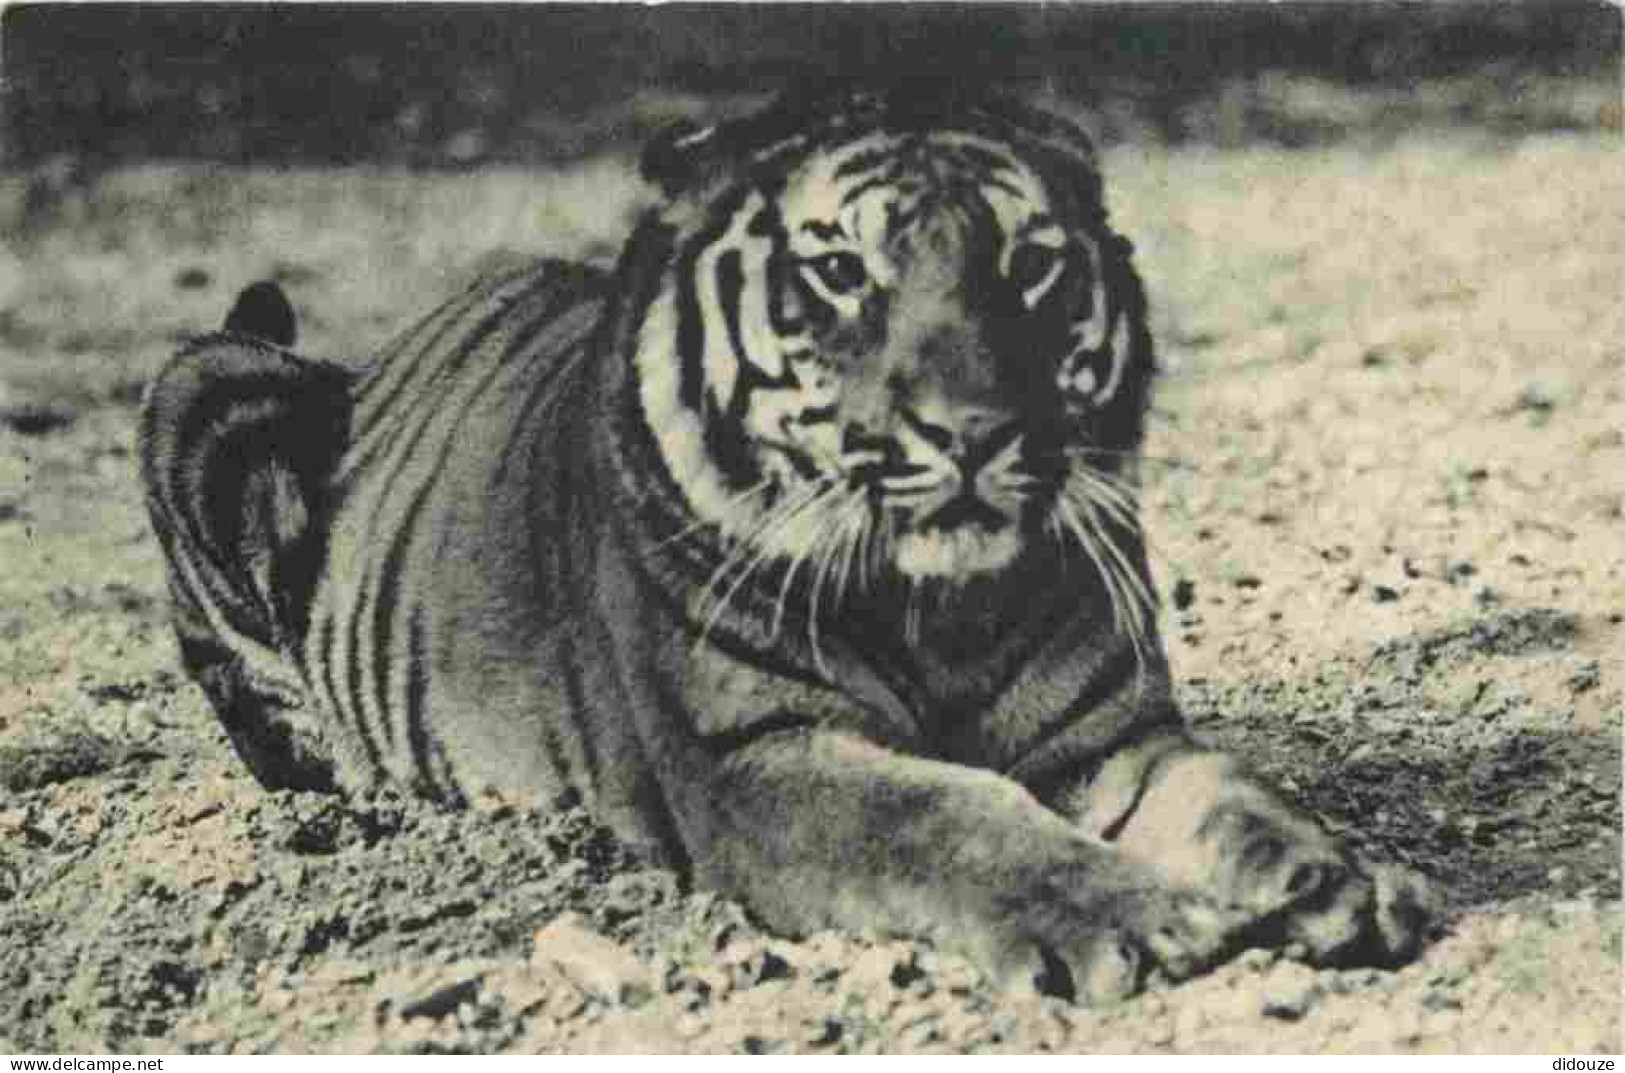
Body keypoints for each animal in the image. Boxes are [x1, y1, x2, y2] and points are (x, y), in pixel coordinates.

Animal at [143, 85, 1436, 1007]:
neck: (941, 608)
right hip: (207, 388)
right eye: (840, 272)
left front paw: (1342, 879)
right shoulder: (754, 759)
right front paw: (1132, 919)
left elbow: (1237, 796)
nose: (972, 430)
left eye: (1028, 266)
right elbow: (947, 814)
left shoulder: (1110, 736)